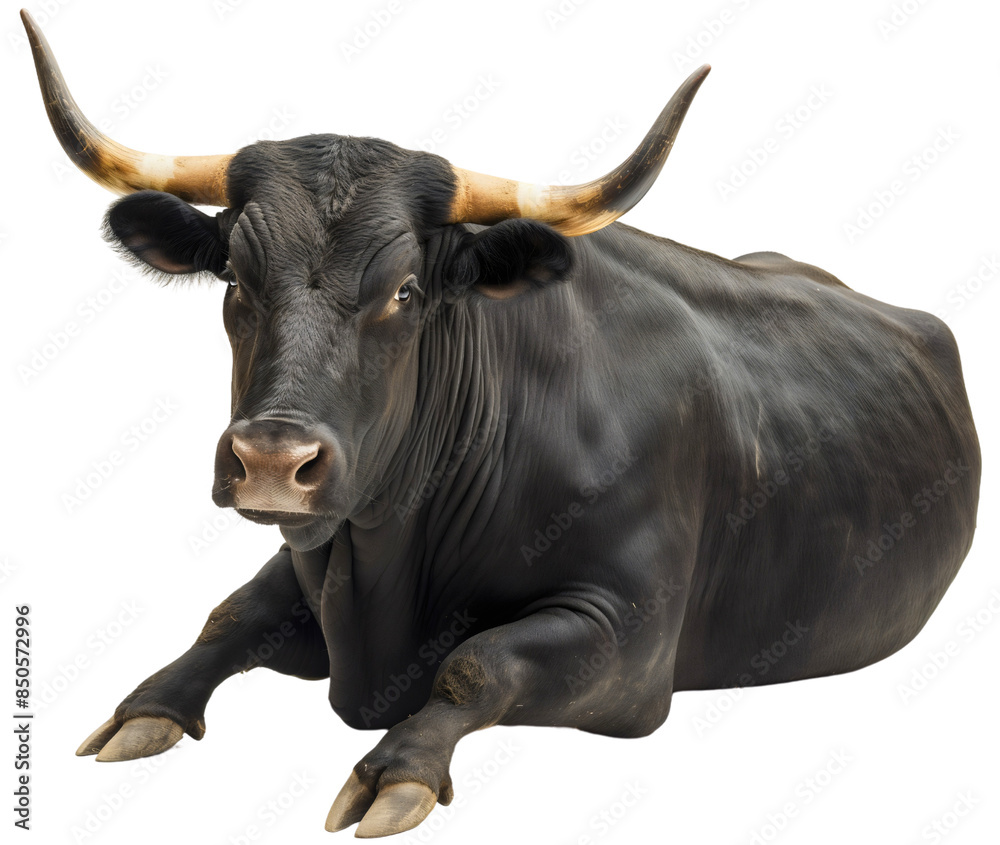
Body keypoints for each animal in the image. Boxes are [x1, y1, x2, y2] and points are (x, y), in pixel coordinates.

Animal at [22, 10, 980, 839]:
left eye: (407, 291)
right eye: (233, 279)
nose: (271, 459)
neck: (382, 572)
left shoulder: (632, 646)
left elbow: (481, 660)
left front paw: (398, 768)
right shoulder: (311, 565)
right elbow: (228, 614)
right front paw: (146, 706)